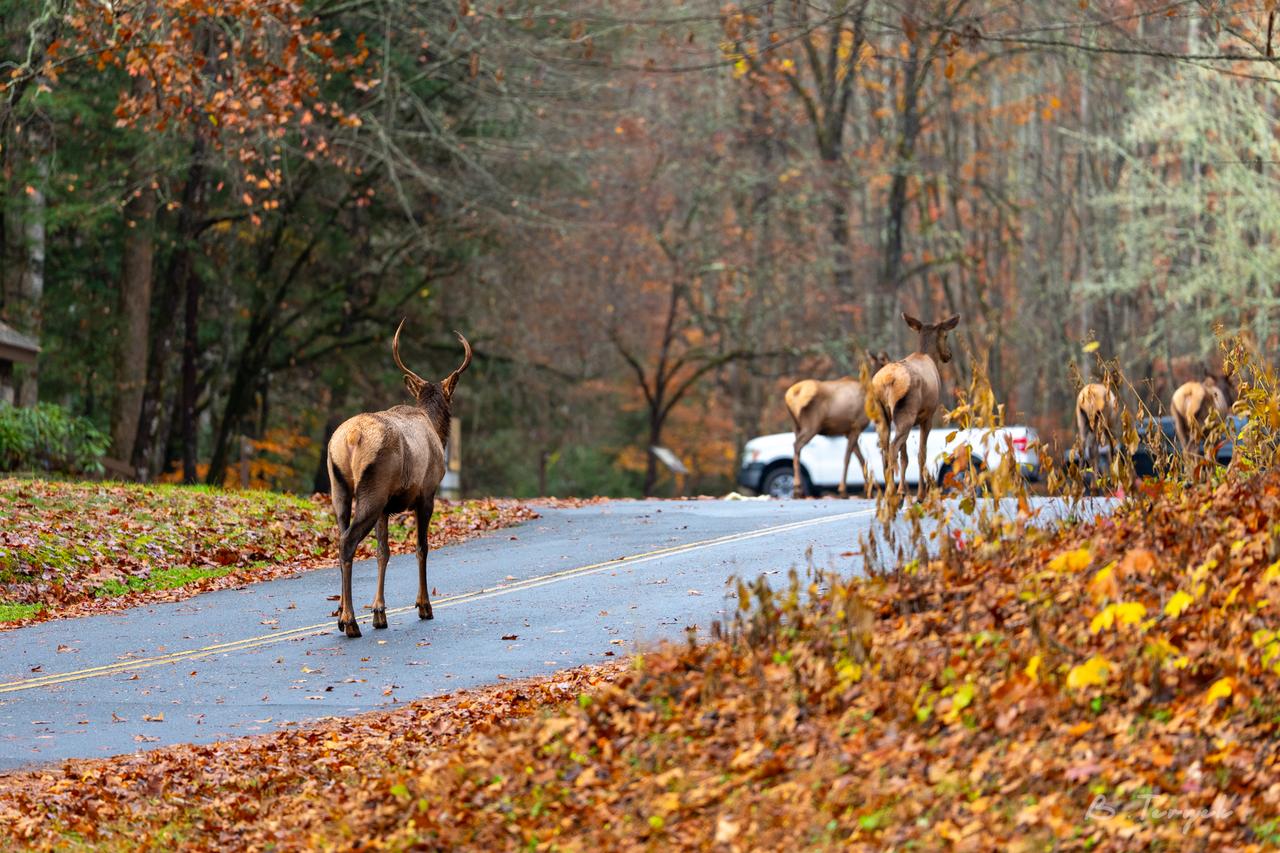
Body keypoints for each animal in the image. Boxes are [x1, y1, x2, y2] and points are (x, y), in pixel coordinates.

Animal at [326, 320, 472, 638]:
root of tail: (350, 438)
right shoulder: (427, 494)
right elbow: (421, 547)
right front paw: (424, 606)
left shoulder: (386, 508)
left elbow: (383, 552)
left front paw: (379, 612)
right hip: (372, 488)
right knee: (348, 541)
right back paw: (351, 622)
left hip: (340, 487)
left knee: (341, 536)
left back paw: (341, 616)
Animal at [783, 351, 891, 499]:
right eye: (885, 361)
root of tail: (791, 396)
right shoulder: (856, 426)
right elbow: (848, 458)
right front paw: (843, 490)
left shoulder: (847, 431)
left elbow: (861, 459)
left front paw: (870, 490)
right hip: (811, 425)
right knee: (797, 446)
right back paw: (797, 489)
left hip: (796, 425)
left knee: (797, 450)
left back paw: (797, 490)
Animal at [870, 313, 960, 501]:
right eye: (946, 335)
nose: (948, 354)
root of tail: (888, 380)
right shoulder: (928, 417)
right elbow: (921, 454)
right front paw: (919, 495)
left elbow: (905, 457)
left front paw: (903, 491)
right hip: (906, 413)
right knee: (892, 448)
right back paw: (892, 493)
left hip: (883, 416)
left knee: (885, 449)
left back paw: (890, 492)